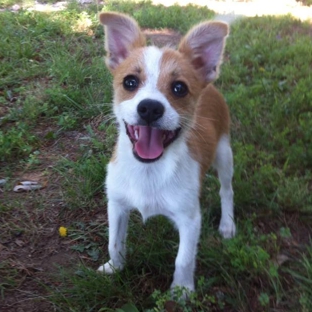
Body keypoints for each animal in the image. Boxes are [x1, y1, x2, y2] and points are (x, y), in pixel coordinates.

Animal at [96, 12, 235, 294]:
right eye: (130, 82)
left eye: (179, 88)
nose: (150, 107)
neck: (149, 170)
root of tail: (210, 87)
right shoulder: (116, 204)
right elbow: (114, 243)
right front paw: (115, 268)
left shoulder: (190, 220)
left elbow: (183, 259)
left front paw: (181, 292)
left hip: (225, 155)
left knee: (227, 191)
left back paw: (227, 224)